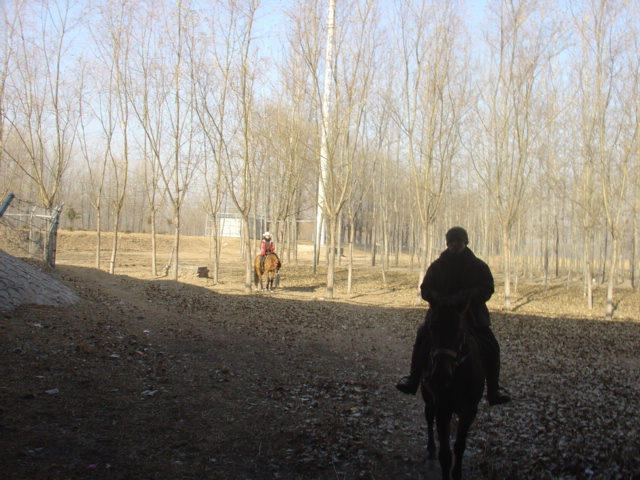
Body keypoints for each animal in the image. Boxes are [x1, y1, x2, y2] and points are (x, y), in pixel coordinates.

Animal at [420, 304, 484, 480]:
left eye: (460, 331)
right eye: (431, 329)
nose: (440, 375)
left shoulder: (470, 412)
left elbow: (459, 446)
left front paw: (457, 473)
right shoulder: (443, 409)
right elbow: (445, 454)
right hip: (427, 395)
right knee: (429, 417)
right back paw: (431, 452)